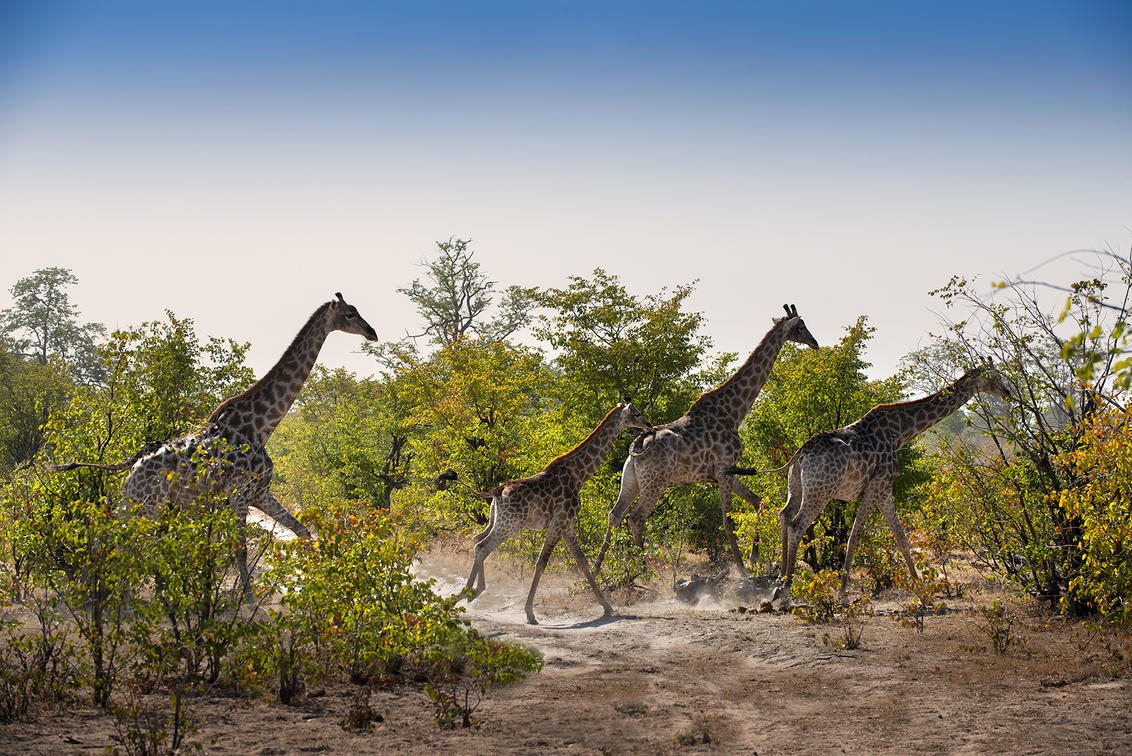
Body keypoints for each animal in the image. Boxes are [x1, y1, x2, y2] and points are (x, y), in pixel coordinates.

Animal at [49, 293, 379, 592]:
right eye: (350, 313)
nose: (372, 332)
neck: (262, 426)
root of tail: (133, 464)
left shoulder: (260, 494)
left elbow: (302, 531)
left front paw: (320, 583)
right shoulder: (238, 493)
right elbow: (240, 550)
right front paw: (245, 599)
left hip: (136, 502)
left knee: (110, 543)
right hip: (145, 504)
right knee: (117, 545)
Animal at [460, 402, 652, 625]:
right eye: (636, 413)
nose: (649, 426)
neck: (578, 475)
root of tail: (497, 492)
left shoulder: (567, 524)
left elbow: (582, 563)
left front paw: (607, 607)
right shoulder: (558, 522)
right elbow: (541, 562)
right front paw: (529, 613)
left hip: (496, 520)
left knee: (477, 539)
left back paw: (474, 591)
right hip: (510, 524)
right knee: (482, 546)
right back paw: (465, 593)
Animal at [592, 305, 820, 577]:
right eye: (801, 326)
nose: (815, 343)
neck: (734, 412)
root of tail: (637, 444)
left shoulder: (725, 473)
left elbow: (759, 504)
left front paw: (753, 559)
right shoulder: (724, 470)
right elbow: (728, 521)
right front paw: (742, 571)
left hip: (631, 480)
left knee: (615, 515)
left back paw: (596, 570)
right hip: (656, 482)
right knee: (636, 518)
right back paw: (644, 573)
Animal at [729, 366, 1014, 598]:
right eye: (995, 376)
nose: (1008, 392)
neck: (901, 432)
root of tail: (801, 453)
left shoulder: (885, 490)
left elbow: (900, 537)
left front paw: (919, 586)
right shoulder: (877, 486)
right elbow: (855, 536)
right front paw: (843, 591)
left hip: (797, 486)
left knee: (784, 514)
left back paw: (779, 579)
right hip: (821, 491)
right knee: (798, 525)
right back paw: (785, 588)